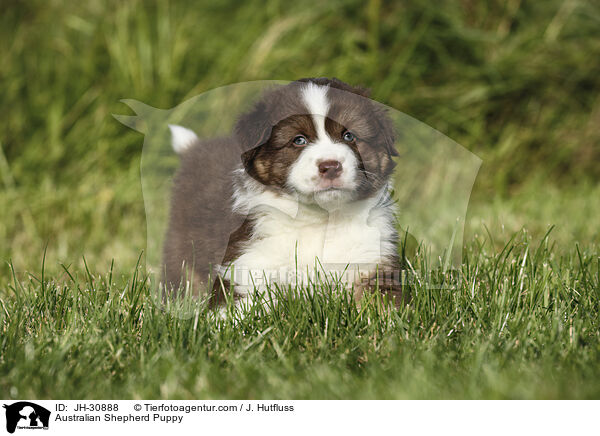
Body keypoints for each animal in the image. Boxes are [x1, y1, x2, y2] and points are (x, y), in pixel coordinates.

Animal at [164, 78, 408, 316]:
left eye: (349, 136)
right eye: (298, 140)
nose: (330, 166)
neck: (319, 220)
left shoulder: (372, 261)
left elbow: (381, 308)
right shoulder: (247, 264)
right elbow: (243, 310)